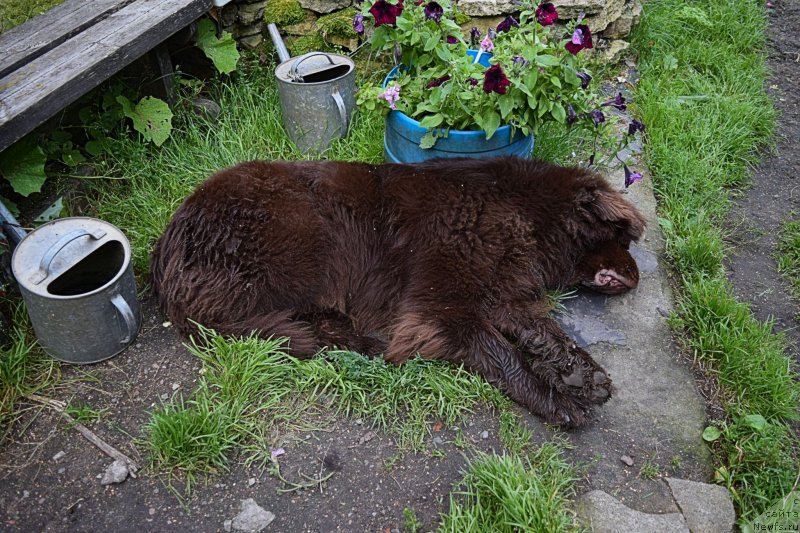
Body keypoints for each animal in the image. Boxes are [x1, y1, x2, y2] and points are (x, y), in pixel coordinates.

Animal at [153, 156, 648, 426]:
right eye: (624, 240)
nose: (639, 277)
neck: (523, 211)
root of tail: (170, 240)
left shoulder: (501, 294)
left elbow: (544, 329)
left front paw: (579, 373)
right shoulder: (439, 308)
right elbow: (501, 351)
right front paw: (554, 399)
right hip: (300, 236)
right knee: (255, 322)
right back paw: (358, 343)